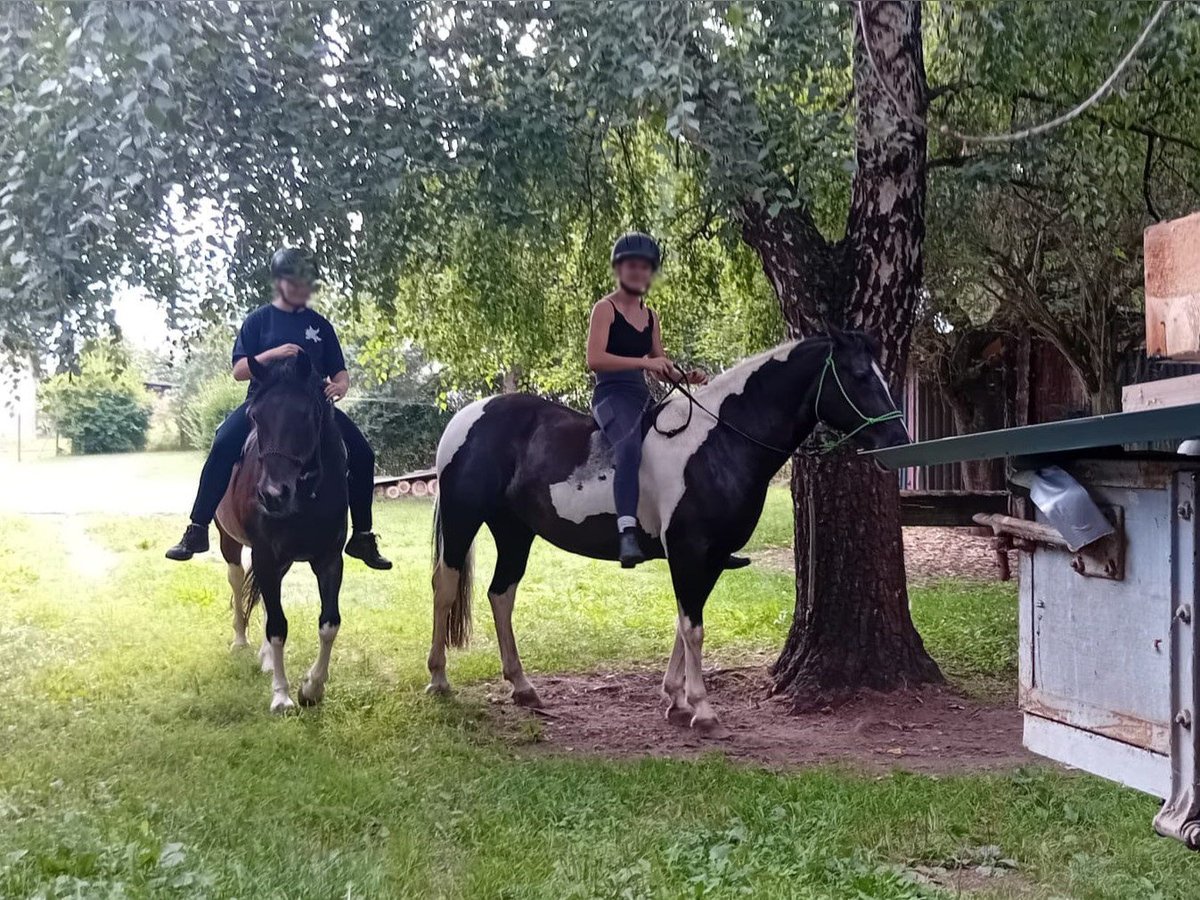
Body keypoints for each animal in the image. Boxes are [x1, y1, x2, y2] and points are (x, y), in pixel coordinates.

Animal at [217, 352, 350, 710]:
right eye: (255, 416)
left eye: (305, 415)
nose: (272, 494)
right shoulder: (265, 556)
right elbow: (277, 626)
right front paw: (281, 696)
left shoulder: (329, 559)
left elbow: (329, 623)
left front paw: (312, 688)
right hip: (230, 542)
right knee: (237, 580)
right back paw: (240, 640)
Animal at [432, 336, 907, 729]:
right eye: (860, 375)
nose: (898, 439)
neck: (716, 442)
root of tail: (466, 415)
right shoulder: (690, 551)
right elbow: (693, 627)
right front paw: (702, 709)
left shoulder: (710, 558)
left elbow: (684, 622)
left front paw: (676, 699)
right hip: (463, 519)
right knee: (446, 587)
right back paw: (438, 678)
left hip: (514, 531)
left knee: (501, 594)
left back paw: (522, 686)